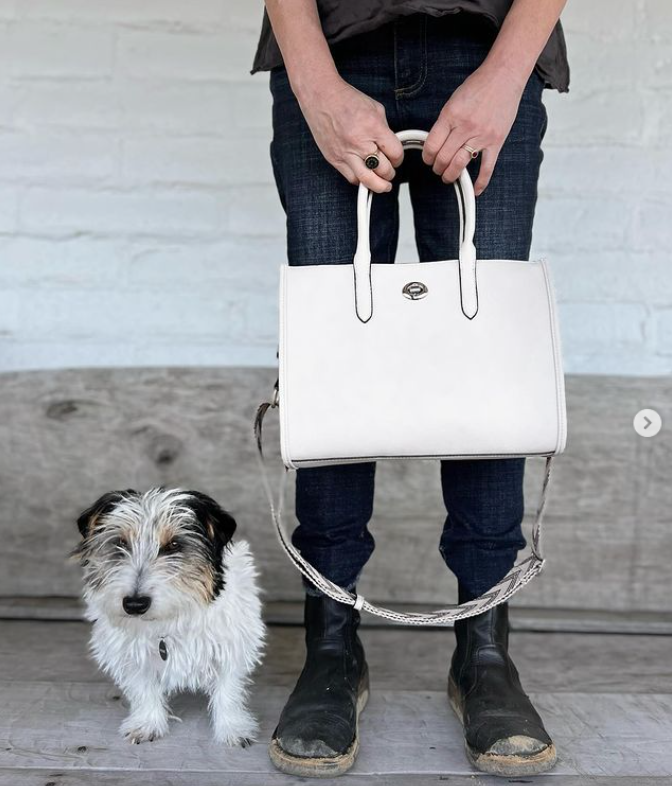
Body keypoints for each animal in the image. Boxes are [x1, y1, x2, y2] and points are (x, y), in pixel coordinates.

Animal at [71, 486, 266, 744]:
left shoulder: (231, 647)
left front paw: (232, 728)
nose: (134, 604)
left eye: (174, 545)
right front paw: (147, 723)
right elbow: (142, 689)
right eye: (120, 543)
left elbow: (228, 691)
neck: (168, 622)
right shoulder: (130, 654)